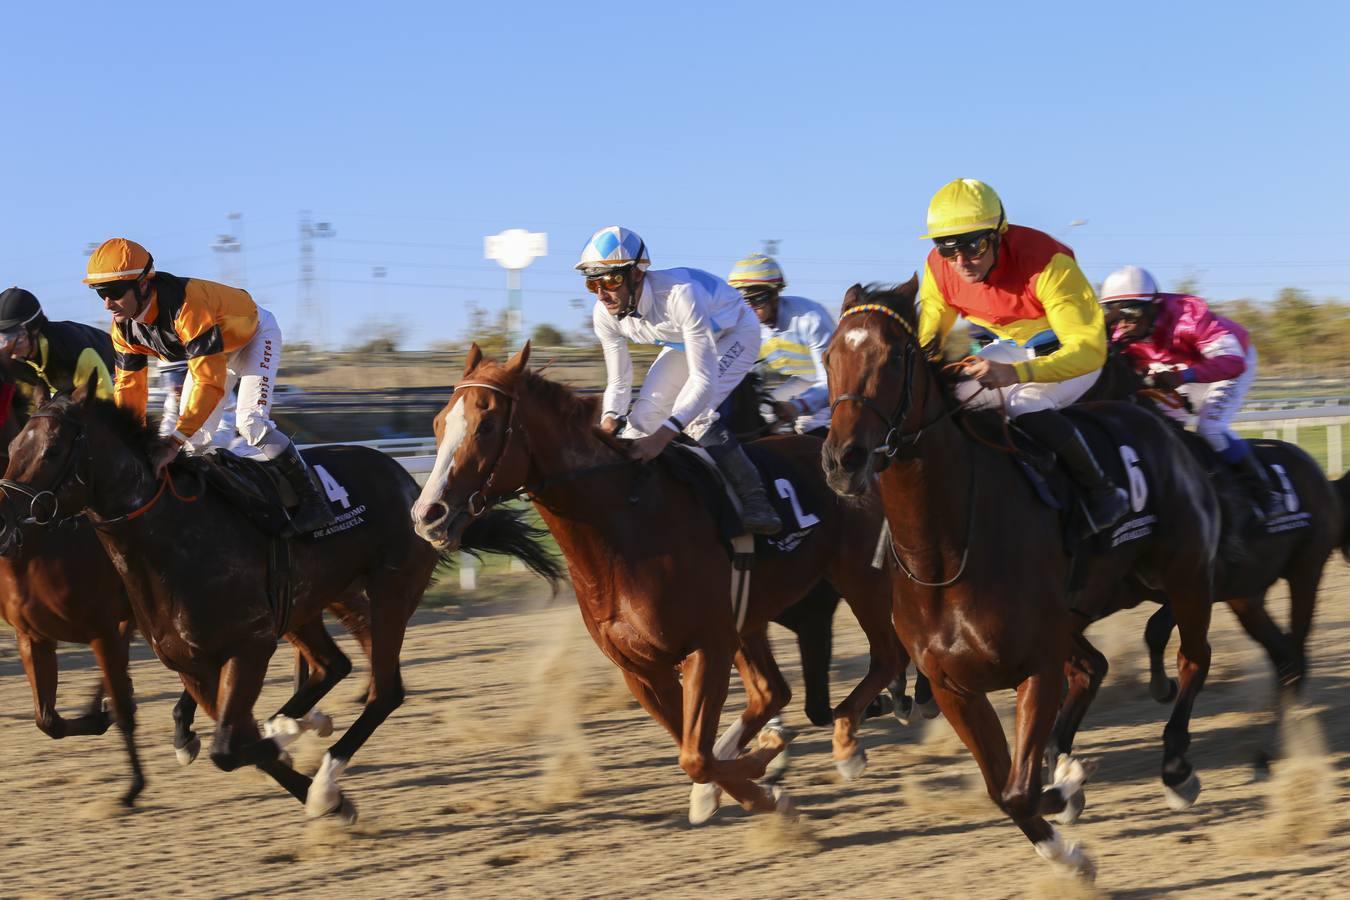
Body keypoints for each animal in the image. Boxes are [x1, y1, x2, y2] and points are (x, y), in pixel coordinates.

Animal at [0, 380, 558, 825]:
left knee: (385, 690)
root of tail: (414, 486)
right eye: (13, 445)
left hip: (387, 592)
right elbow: (236, 742)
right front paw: (314, 775)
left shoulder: (248, 645)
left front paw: (315, 778)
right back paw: (300, 728)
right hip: (309, 605)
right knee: (332, 665)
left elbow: (230, 747)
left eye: (52, 450)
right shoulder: (190, 663)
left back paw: (320, 757)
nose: (4, 521)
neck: (172, 540)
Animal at [410, 345, 907, 825]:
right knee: (772, 692)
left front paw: (761, 777)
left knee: (886, 657)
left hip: (861, 578)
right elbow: (693, 751)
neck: (625, 525)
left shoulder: (706, 646)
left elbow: (695, 756)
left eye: (487, 425)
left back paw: (848, 743)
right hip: (750, 618)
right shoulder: (640, 668)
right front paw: (756, 781)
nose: (428, 514)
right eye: (438, 423)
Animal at [820, 283, 1225, 879]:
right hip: (1087, 607)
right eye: (829, 357)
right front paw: (1066, 823)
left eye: (895, 358)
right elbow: (1002, 788)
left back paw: (1176, 767)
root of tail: (1156, 421)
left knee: (1193, 658)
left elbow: (1018, 789)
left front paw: (1068, 810)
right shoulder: (953, 686)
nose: (843, 461)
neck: (945, 556)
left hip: (1187, 576)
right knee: (1092, 667)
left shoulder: (1035, 667)